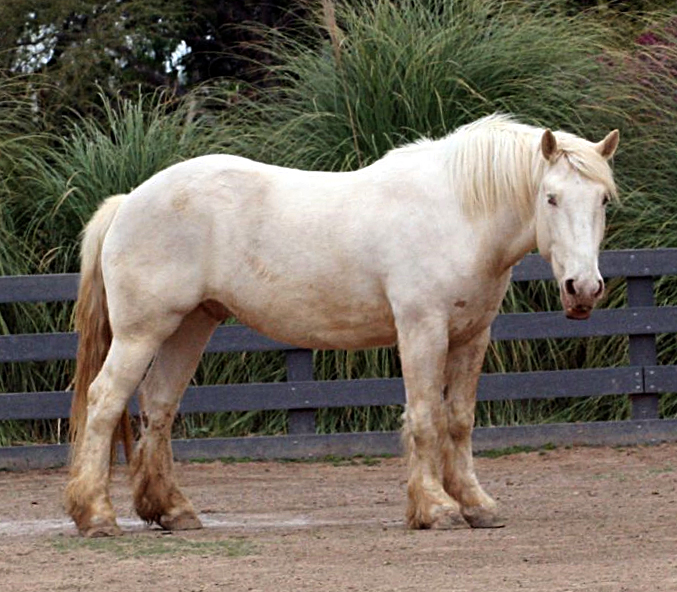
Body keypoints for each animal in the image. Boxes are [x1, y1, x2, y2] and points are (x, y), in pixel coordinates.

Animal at [64, 114, 616, 536]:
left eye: (603, 200)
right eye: (550, 197)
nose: (583, 288)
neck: (457, 212)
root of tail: (129, 200)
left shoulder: (471, 335)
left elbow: (459, 420)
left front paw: (477, 505)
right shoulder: (422, 330)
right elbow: (426, 418)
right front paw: (436, 508)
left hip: (190, 326)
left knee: (159, 408)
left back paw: (173, 511)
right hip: (141, 333)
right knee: (105, 401)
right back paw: (96, 516)